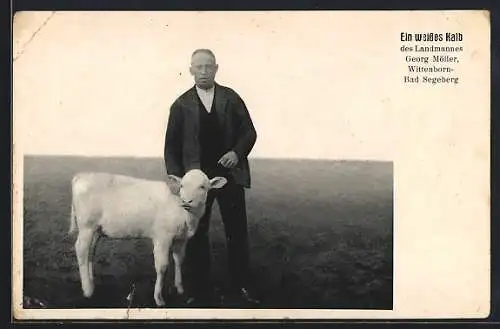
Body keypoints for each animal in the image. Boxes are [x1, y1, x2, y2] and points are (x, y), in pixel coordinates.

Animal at [67, 168, 228, 306]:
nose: (186, 201)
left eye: (202, 187)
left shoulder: (181, 239)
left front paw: (180, 287)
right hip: (87, 225)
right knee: (81, 249)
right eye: (182, 185)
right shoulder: (162, 237)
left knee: (90, 251)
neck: (185, 215)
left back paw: (91, 282)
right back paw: (87, 290)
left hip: (96, 228)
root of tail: (81, 176)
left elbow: (179, 261)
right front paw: (158, 298)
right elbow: (162, 267)